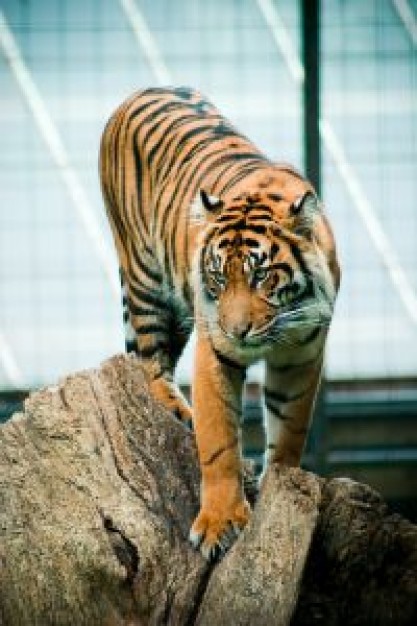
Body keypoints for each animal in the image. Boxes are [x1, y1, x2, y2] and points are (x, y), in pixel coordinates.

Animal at [99, 85, 340, 560]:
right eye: (217, 275)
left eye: (261, 276)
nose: (237, 331)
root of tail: (141, 90)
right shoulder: (214, 351)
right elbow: (218, 441)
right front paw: (219, 523)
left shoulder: (302, 354)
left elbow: (289, 427)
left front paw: (275, 485)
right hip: (147, 282)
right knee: (149, 362)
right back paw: (176, 408)